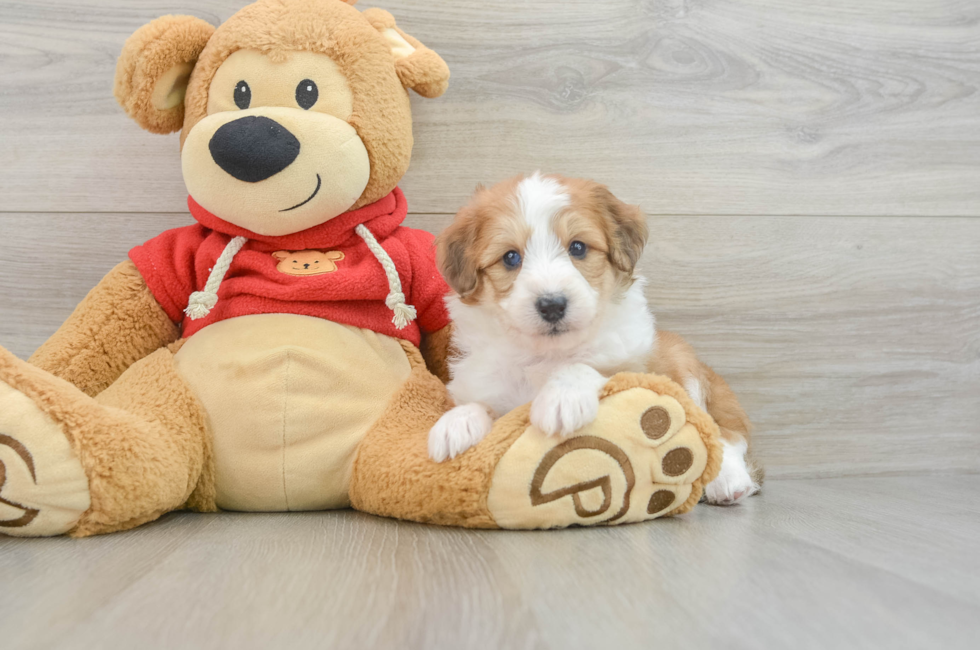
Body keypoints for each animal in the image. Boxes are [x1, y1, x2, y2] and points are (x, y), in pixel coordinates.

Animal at [432, 175, 760, 504]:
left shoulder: (642, 371)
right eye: (510, 257)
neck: (546, 354)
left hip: (685, 366)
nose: (552, 305)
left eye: (578, 247)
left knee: (723, 434)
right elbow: (482, 403)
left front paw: (562, 398)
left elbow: (592, 367)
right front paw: (457, 423)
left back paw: (728, 481)